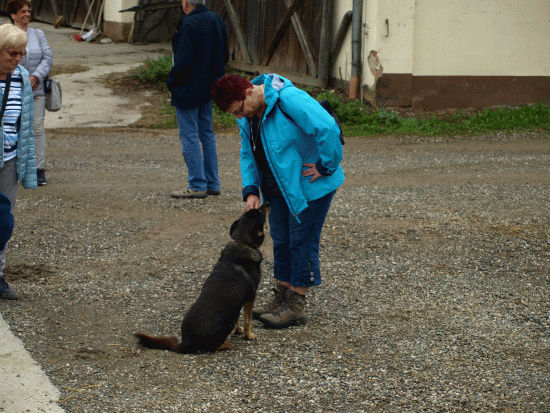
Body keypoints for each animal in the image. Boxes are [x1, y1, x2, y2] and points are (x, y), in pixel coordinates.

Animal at [136, 201, 270, 352]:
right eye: (261, 213)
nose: (268, 202)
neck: (242, 242)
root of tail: (185, 341)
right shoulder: (251, 295)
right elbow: (247, 320)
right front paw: (249, 335)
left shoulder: (239, 301)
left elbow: (239, 319)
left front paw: (239, 330)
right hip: (225, 326)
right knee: (211, 347)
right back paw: (227, 344)